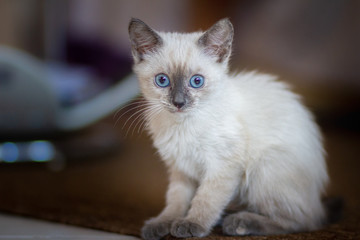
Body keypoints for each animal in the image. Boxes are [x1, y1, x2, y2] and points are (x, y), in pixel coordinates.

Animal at [127, 17, 330, 239]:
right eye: (162, 80)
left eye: (196, 81)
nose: (179, 103)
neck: (183, 125)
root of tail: (318, 202)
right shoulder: (180, 168)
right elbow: (176, 200)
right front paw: (163, 223)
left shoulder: (222, 166)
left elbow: (206, 199)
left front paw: (192, 224)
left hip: (264, 167)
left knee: (301, 222)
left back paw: (239, 222)